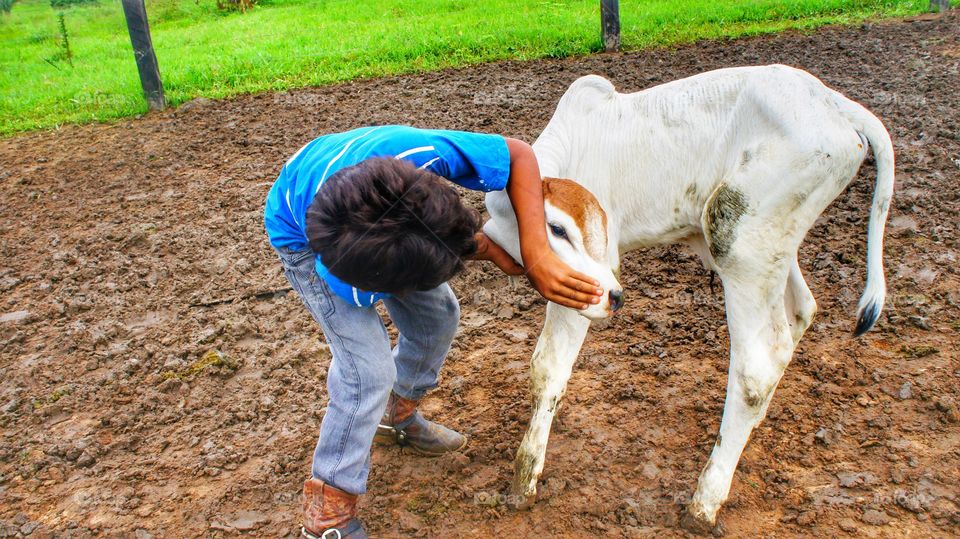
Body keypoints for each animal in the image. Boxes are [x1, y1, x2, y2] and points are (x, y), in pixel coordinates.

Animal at [481, 65, 894, 532]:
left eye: (559, 227)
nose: (614, 296)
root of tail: (831, 101)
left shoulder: (584, 284)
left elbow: (549, 367)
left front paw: (524, 478)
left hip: (736, 234)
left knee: (758, 366)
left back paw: (705, 500)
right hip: (771, 247)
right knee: (799, 313)